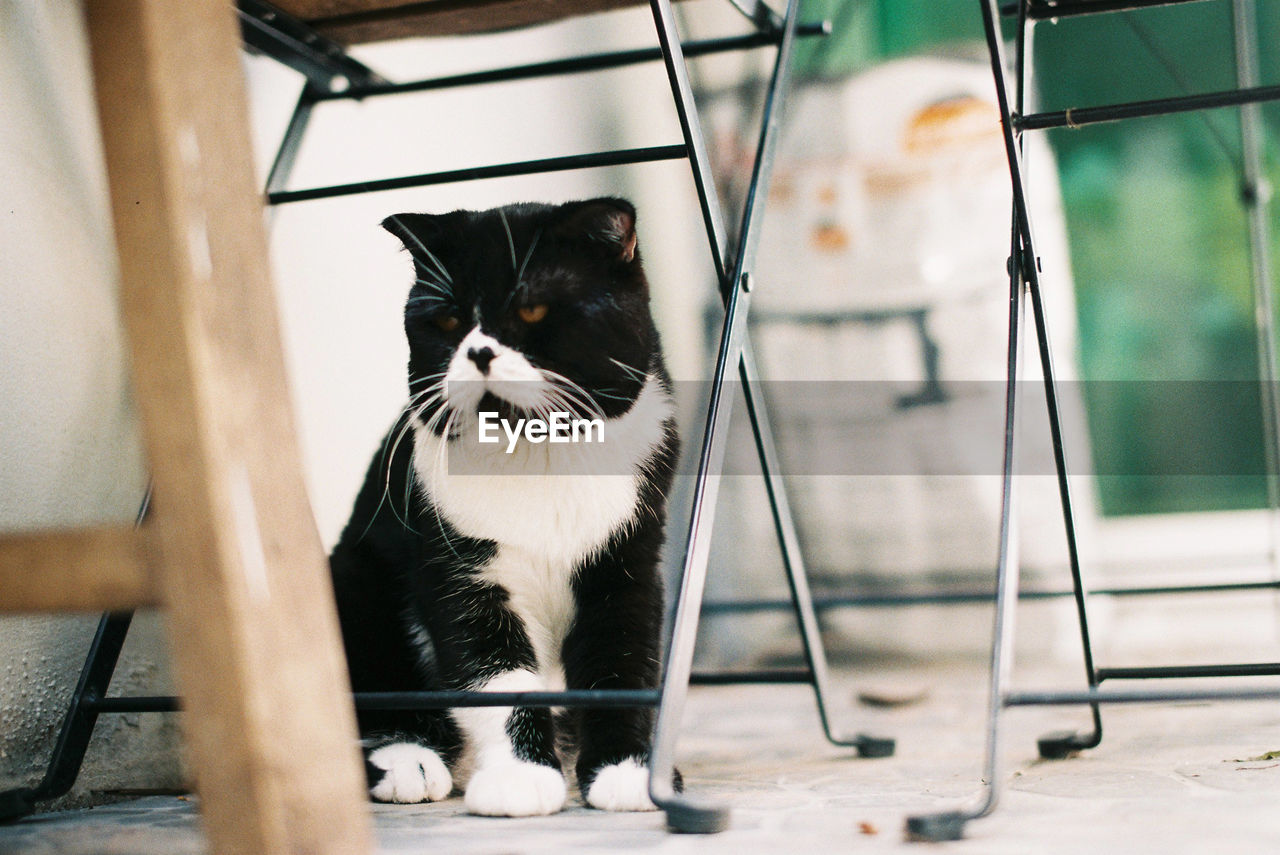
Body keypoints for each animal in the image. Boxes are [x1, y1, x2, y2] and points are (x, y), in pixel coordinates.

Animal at [332, 197, 680, 819]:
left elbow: (625, 658)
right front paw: (519, 778)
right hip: (354, 580)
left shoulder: (631, 558)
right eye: (447, 322)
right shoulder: (458, 571)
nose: (478, 350)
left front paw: (629, 773)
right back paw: (408, 761)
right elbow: (492, 669)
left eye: (533, 308)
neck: (539, 457)